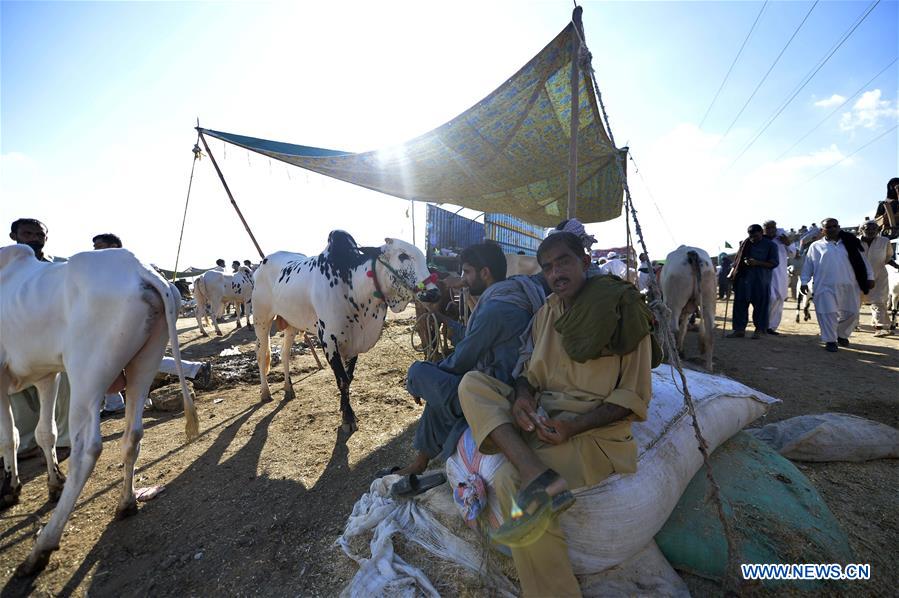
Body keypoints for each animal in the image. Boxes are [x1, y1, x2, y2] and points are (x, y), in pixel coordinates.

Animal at [0, 246, 199, 580]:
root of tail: (141, 269)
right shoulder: (47, 375)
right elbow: (45, 432)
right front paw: (52, 483)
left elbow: (10, 437)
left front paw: (12, 487)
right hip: (144, 361)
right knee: (133, 434)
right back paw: (126, 503)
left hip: (86, 375)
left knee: (87, 449)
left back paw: (42, 547)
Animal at [253, 232, 440, 434]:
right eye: (403, 256)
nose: (434, 293)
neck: (352, 287)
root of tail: (262, 263)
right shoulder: (329, 341)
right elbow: (342, 380)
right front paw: (348, 418)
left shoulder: (353, 343)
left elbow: (348, 378)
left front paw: (344, 407)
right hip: (261, 320)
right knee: (261, 354)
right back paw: (265, 392)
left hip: (291, 324)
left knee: (285, 353)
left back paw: (288, 389)